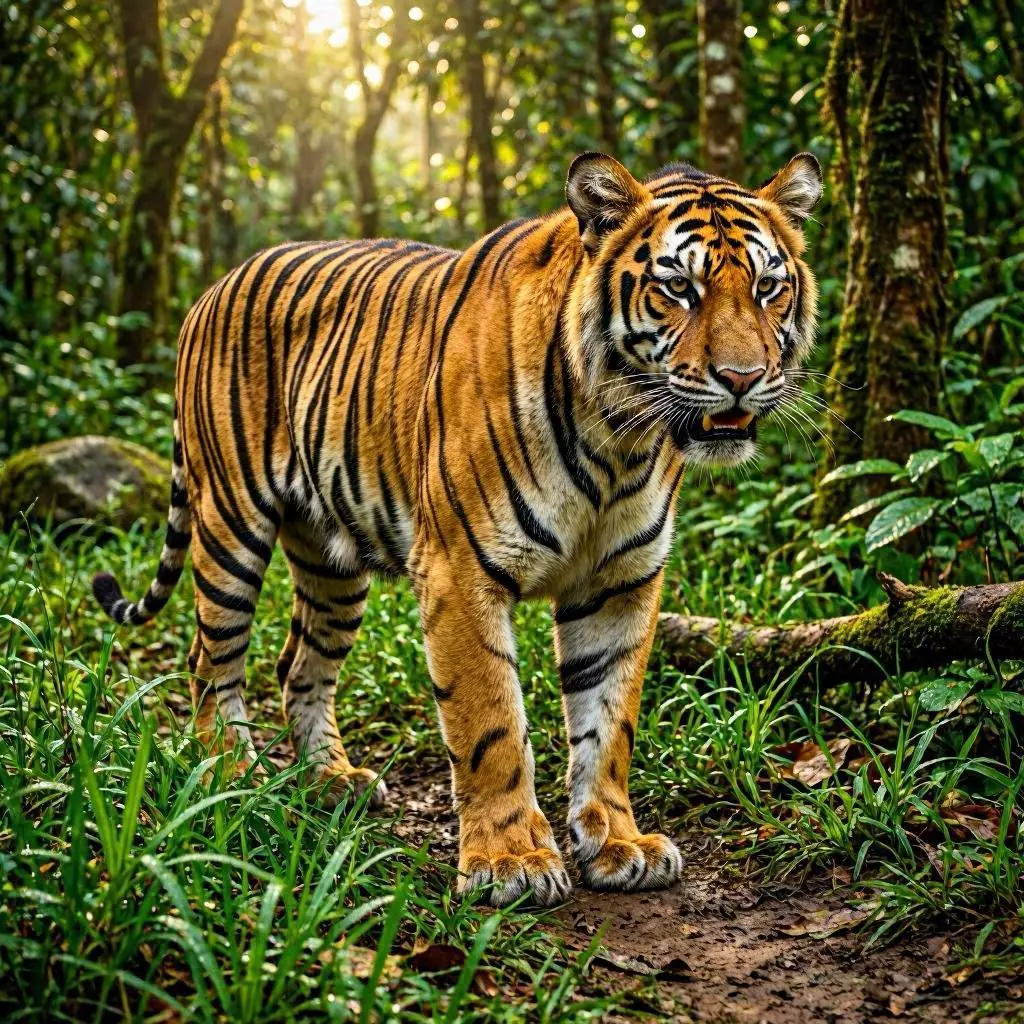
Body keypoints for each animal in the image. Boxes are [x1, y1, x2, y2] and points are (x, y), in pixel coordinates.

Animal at [93, 151, 822, 906]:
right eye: (679, 288)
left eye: (769, 288)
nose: (742, 377)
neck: (620, 439)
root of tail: (213, 287)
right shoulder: (459, 570)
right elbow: (490, 720)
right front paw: (510, 861)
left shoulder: (622, 582)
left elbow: (610, 721)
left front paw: (619, 843)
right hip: (229, 523)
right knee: (209, 661)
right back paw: (233, 779)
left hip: (331, 561)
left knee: (298, 664)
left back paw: (330, 781)